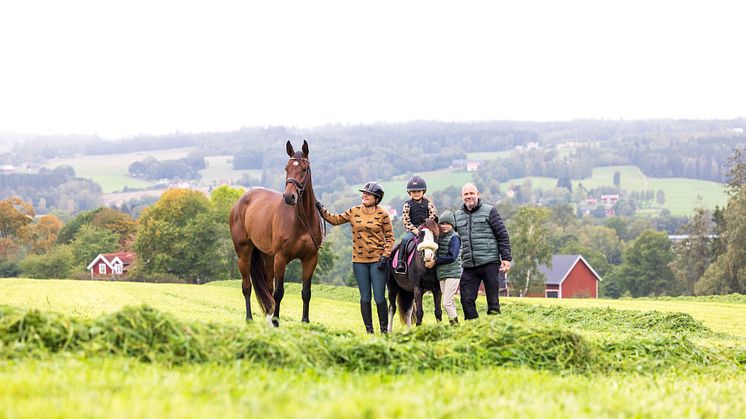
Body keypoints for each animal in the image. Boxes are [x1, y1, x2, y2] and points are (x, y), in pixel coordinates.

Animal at [227, 139, 320, 326]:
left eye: (304, 169)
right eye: (286, 168)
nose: (289, 197)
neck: (301, 220)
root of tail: (240, 202)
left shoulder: (310, 259)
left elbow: (306, 292)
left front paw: (305, 321)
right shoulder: (281, 258)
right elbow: (279, 292)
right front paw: (277, 322)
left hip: (268, 257)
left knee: (268, 288)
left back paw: (268, 319)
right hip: (244, 254)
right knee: (247, 286)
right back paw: (250, 318)